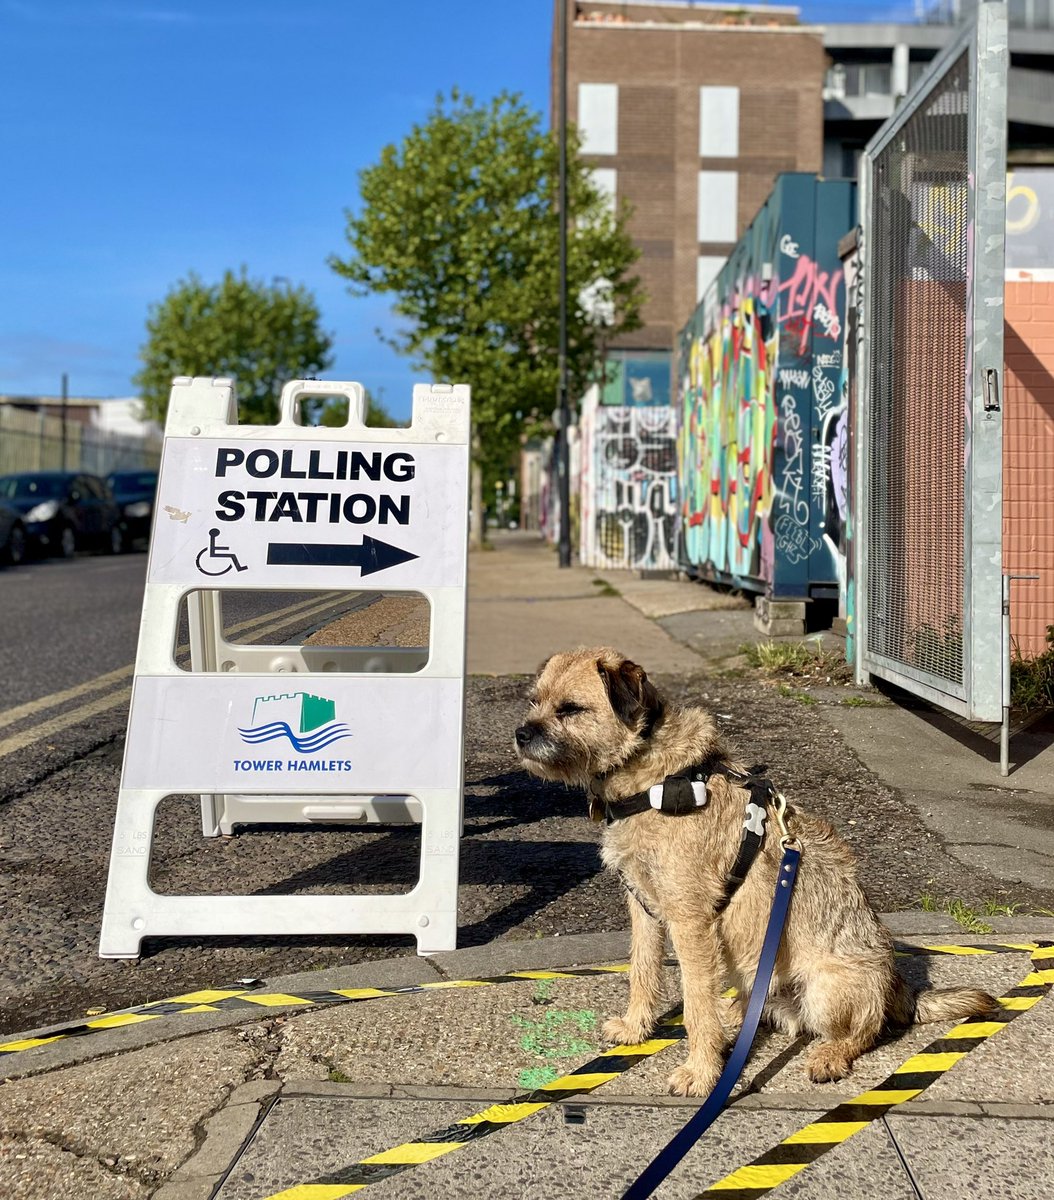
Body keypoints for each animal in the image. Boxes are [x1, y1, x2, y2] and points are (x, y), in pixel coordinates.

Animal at [516, 648, 1003, 1099]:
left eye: (571, 709)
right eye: (535, 700)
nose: (521, 734)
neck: (650, 780)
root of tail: (897, 986)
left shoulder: (690, 920)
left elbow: (695, 1004)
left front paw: (700, 1073)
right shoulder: (643, 908)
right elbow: (643, 970)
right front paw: (637, 1029)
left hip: (828, 989)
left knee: (862, 1031)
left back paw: (828, 1055)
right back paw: (738, 1010)